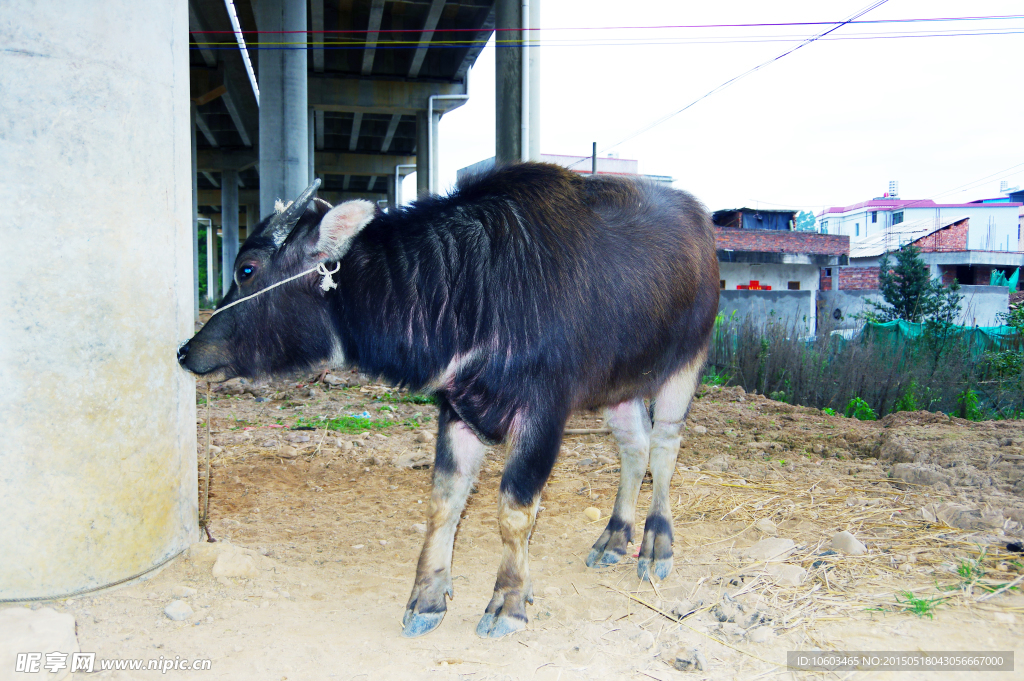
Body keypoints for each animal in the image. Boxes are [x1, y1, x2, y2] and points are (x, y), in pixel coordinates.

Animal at [178, 163, 720, 639]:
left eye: (247, 268)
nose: (187, 351)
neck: (468, 290)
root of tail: (699, 221)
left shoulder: (543, 415)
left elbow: (514, 512)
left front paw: (508, 603)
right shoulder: (458, 409)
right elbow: (444, 502)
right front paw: (427, 598)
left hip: (687, 362)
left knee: (665, 448)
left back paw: (656, 545)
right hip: (618, 385)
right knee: (634, 446)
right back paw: (614, 536)